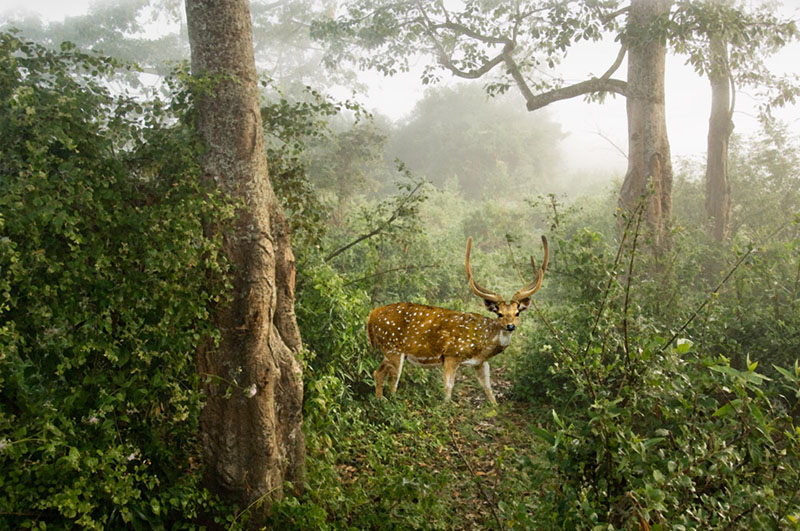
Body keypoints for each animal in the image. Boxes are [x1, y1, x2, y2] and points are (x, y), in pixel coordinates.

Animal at [366, 236, 548, 405]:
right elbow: (448, 386)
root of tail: (371, 315)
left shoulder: (481, 362)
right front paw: (446, 406)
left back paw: (380, 399)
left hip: (389, 350)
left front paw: (495, 406)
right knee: (393, 381)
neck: (483, 343)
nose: (510, 326)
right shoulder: (451, 354)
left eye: (517, 313)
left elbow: (488, 389)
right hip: (393, 347)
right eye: (500, 314)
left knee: (378, 373)